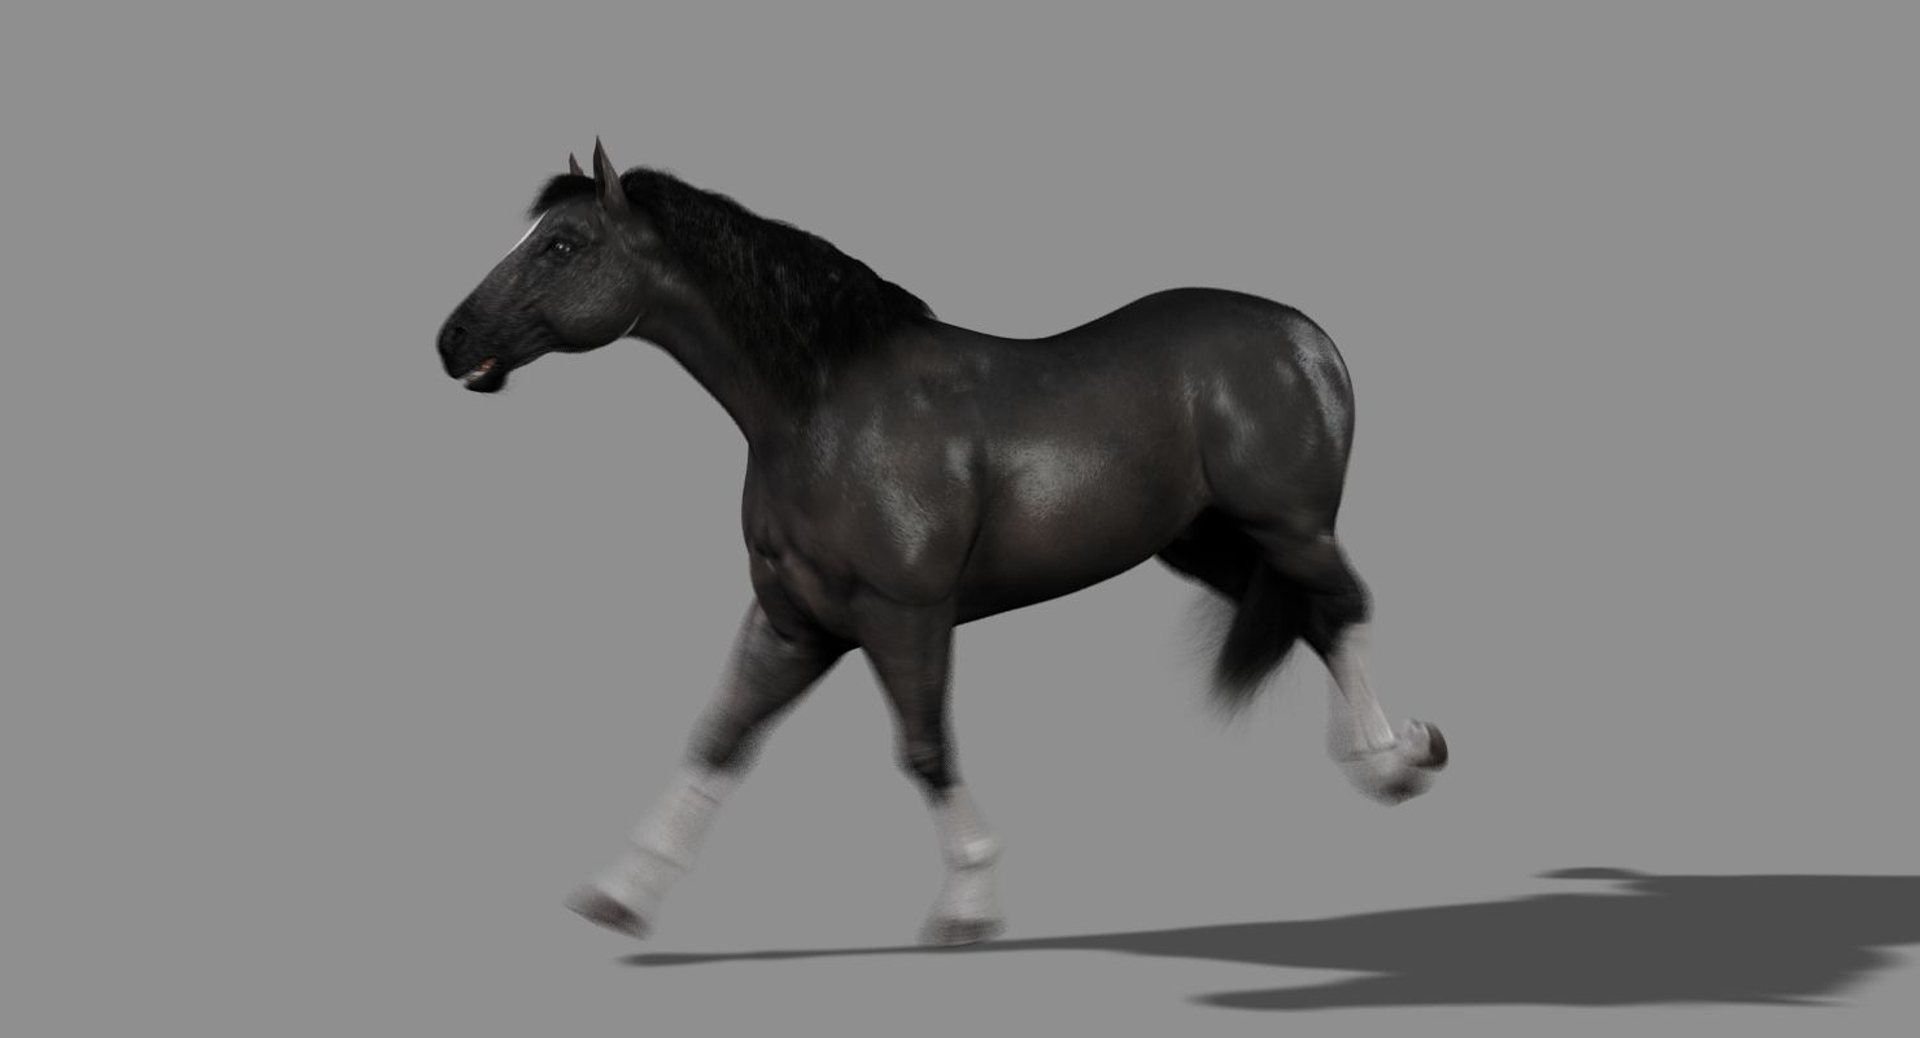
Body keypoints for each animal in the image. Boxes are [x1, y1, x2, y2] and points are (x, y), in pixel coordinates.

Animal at [435, 139, 1449, 947]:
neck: (821, 408)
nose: (452, 342)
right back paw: (1385, 764)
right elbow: (721, 735)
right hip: (1209, 547)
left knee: (1344, 606)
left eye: (562, 244)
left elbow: (924, 750)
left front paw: (968, 907)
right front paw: (620, 894)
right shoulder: (795, 622)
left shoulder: (905, 616)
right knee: (1317, 621)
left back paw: (1401, 759)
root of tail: (1305, 339)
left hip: (1289, 526)